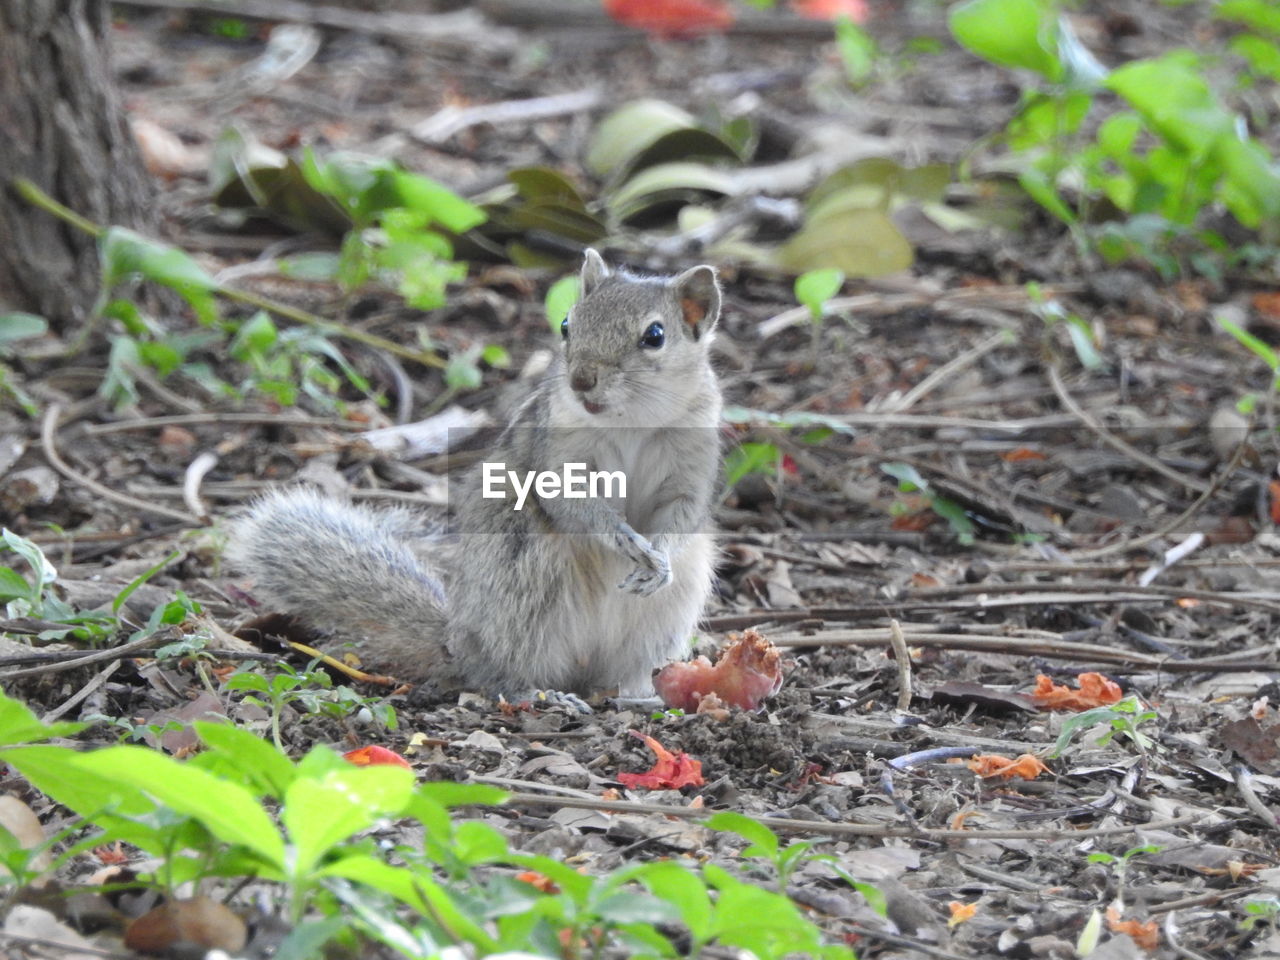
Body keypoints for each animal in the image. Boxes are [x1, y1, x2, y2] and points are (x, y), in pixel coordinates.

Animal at [226, 249, 727, 701]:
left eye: (655, 336)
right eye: (567, 325)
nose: (581, 380)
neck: (631, 418)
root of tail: (459, 645)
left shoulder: (691, 463)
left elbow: (683, 512)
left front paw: (658, 555)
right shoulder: (557, 450)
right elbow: (570, 502)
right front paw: (623, 538)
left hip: (669, 608)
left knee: (622, 671)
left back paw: (636, 695)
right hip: (523, 581)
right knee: (504, 672)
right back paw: (535, 692)